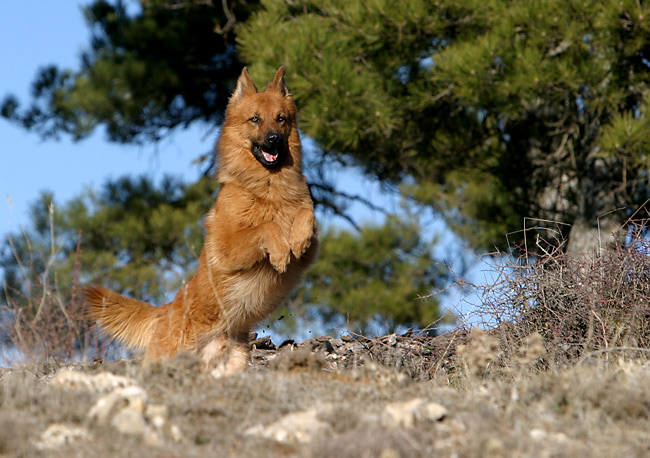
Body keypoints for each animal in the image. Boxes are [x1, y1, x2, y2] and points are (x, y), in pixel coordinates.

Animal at [85, 68, 318, 376]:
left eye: (281, 119)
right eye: (255, 119)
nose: (273, 140)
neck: (267, 189)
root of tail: (166, 309)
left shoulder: (309, 251)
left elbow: (307, 214)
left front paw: (298, 239)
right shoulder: (228, 248)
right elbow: (265, 228)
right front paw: (280, 252)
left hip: (233, 361)